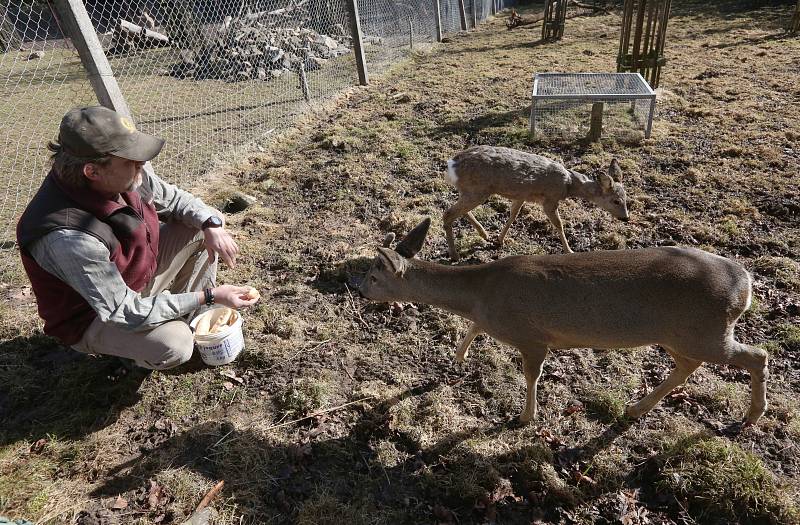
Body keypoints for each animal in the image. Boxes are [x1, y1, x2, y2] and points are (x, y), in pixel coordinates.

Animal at [360, 217, 764, 426]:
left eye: (374, 275)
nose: (358, 288)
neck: (483, 293)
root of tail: (745, 285)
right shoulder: (492, 320)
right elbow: (474, 327)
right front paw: (457, 359)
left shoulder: (532, 335)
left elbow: (531, 375)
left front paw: (525, 417)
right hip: (683, 334)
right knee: (687, 367)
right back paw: (635, 408)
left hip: (706, 329)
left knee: (757, 355)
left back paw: (752, 416)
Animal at [440, 145, 628, 260]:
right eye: (616, 201)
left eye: (626, 198)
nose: (626, 218)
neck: (568, 185)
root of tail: (451, 165)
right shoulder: (550, 200)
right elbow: (559, 224)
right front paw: (569, 251)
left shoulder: (521, 194)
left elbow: (513, 215)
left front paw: (500, 240)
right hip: (478, 189)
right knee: (448, 213)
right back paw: (455, 255)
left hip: (472, 190)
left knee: (458, 210)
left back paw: (484, 234)